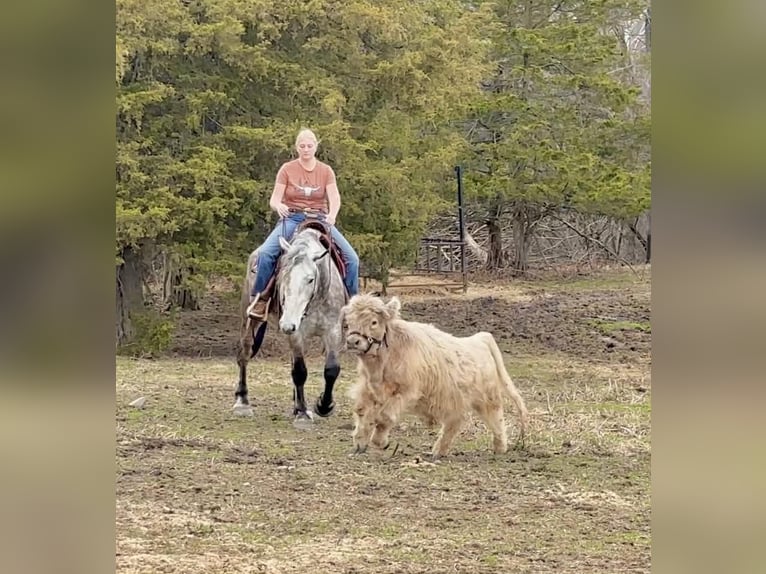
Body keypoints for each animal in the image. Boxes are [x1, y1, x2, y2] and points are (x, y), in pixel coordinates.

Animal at [233, 222, 347, 426]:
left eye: (310, 279)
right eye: (283, 275)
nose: (287, 324)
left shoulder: (333, 330)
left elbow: (331, 369)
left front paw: (323, 406)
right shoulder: (296, 333)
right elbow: (300, 371)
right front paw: (302, 413)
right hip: (249, 319)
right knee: (244, 354)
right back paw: (242, 401)